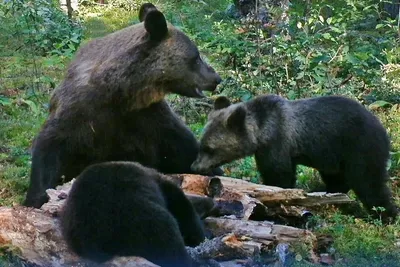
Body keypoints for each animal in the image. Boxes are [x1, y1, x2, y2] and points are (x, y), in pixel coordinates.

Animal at [24, 3, 225, 209]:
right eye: (197, 57)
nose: (216, 78)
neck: (121, 91)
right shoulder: (81, 112)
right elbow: (51, 145)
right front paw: (37, 196)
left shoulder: (146, 115)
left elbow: (180, 143)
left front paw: (213, 168)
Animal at [192, 95, 398, 221]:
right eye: (201, 144)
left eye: (209, 148)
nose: (195, 167)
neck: (262, 132)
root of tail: (384, 131)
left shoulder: (277, 143)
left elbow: (279, 175)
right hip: (333, 156)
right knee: (337, 179)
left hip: (358, 147)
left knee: (368, 182)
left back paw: (386, 215)